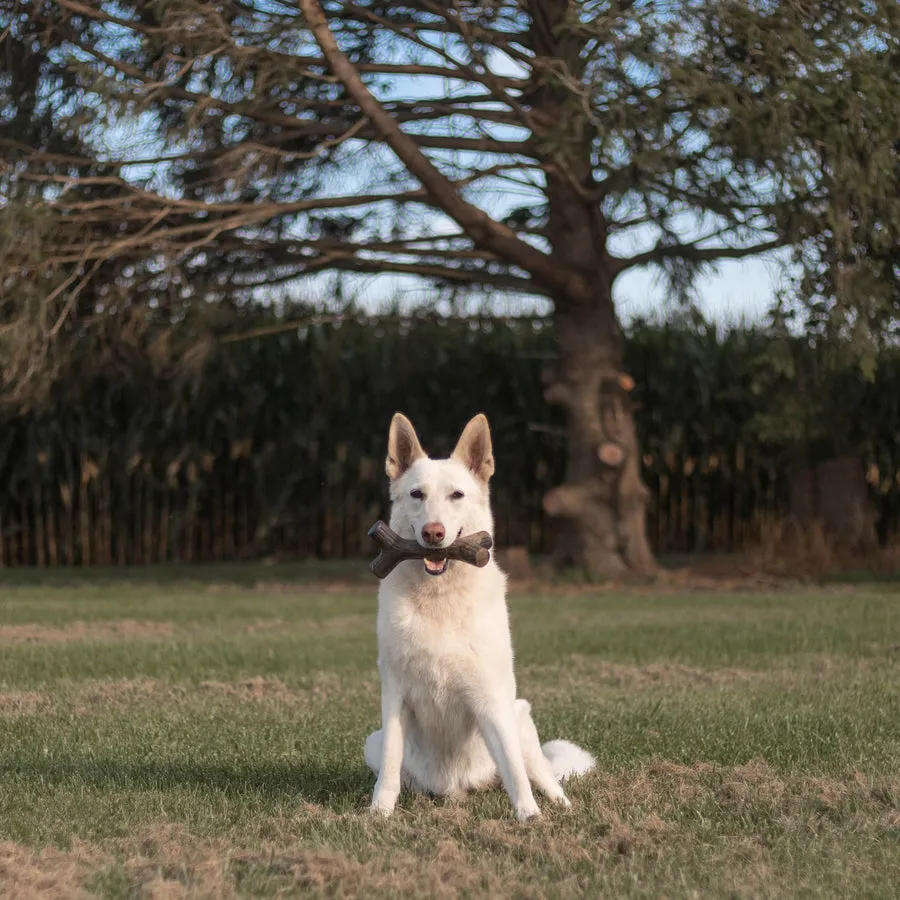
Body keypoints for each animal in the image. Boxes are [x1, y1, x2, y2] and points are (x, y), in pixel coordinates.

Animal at [362, 412, 596, 820]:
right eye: (417, 494)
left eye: (456, 495)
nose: (433, 533)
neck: (439, 598)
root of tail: (458, 787)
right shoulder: (394, 698)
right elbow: (389, 767)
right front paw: (379, 815)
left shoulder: (491, 701)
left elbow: (516, 774)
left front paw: (530, 818)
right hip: (372, 741)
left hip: (518, 717)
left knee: (540, 774)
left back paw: (560, 805)